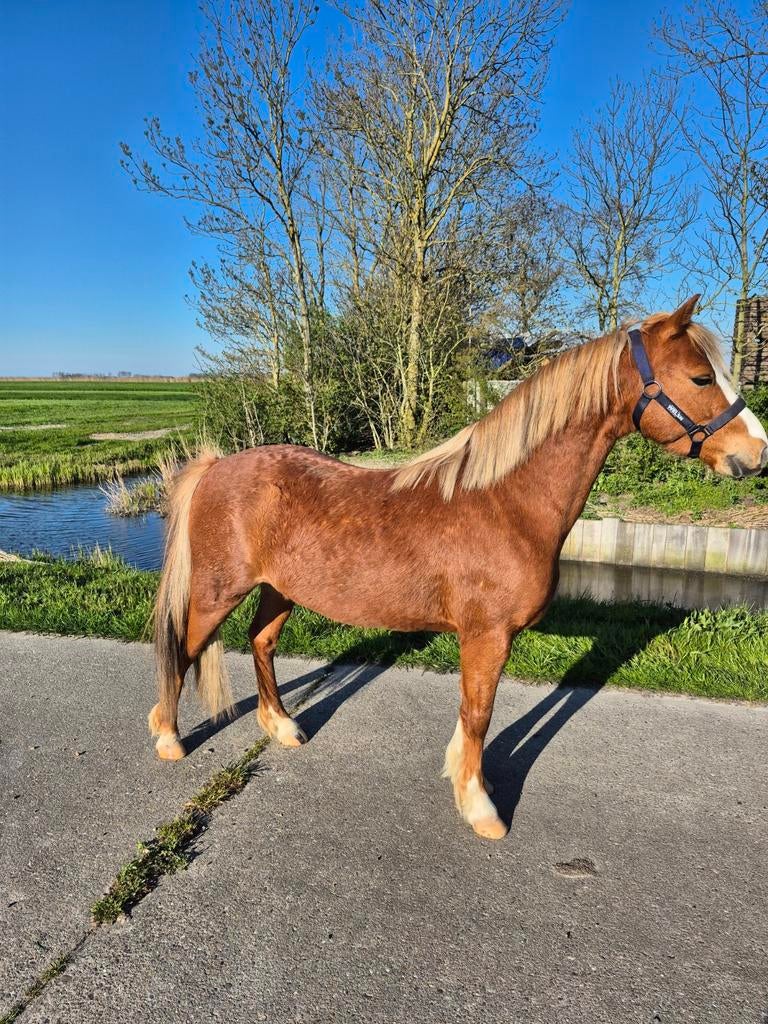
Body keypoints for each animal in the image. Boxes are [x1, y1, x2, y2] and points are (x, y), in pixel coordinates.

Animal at [148, 296, 768, 840]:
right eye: (701, 379)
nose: (758, 452)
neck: (505, 501)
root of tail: (215, 466)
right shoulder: (487, 635)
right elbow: (478, 714)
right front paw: (480, 807)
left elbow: (476, 715)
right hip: (218, 592)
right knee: (183, 646)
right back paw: (169, 736)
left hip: (279, 590)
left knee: (261, 641)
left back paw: (280, 726)